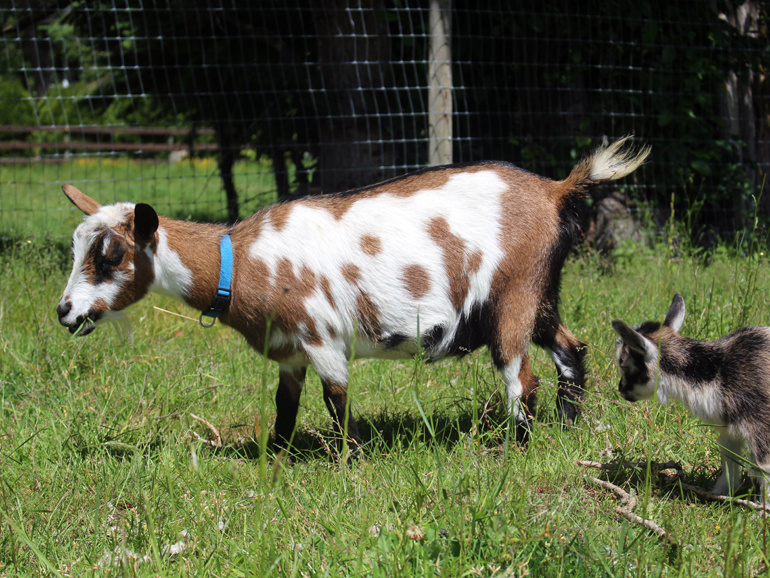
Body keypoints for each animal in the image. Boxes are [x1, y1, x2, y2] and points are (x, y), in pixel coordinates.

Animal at [57, 137, 648, 452]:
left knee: (520, 377)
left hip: (515, 295)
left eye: (109, 256)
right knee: (571, 349)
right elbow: (286, 408)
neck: (243, 261)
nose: (65, 312)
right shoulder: (290, 350)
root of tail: (556, 190)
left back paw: (513, 449)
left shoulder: (322, 338)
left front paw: (350, 463)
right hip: (539, 293)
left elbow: (336, 401)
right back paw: (567, 424)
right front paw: (277, 459)